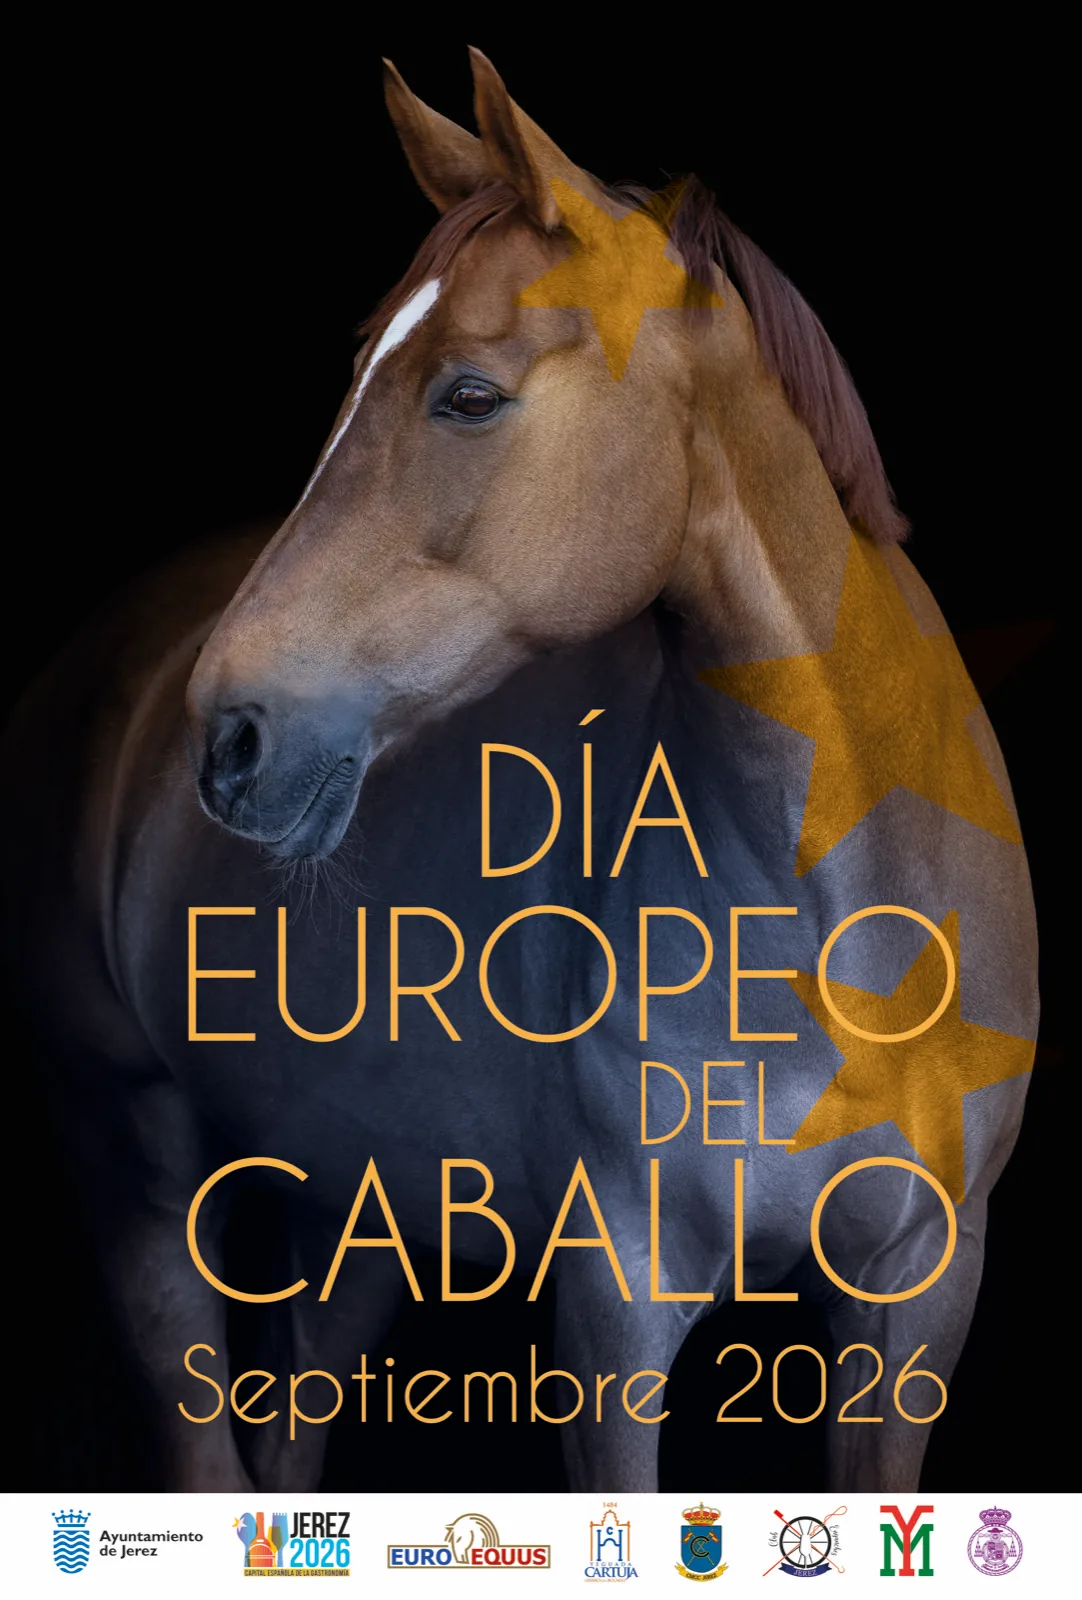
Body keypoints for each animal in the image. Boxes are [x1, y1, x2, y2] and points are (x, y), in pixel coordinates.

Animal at [3, 48, 1037, 1496]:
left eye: (469, 394)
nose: (232, 738)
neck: (847, 935)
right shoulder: (616, 1306)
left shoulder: (915, 1297)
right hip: (134, 1161)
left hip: (355, 1203)